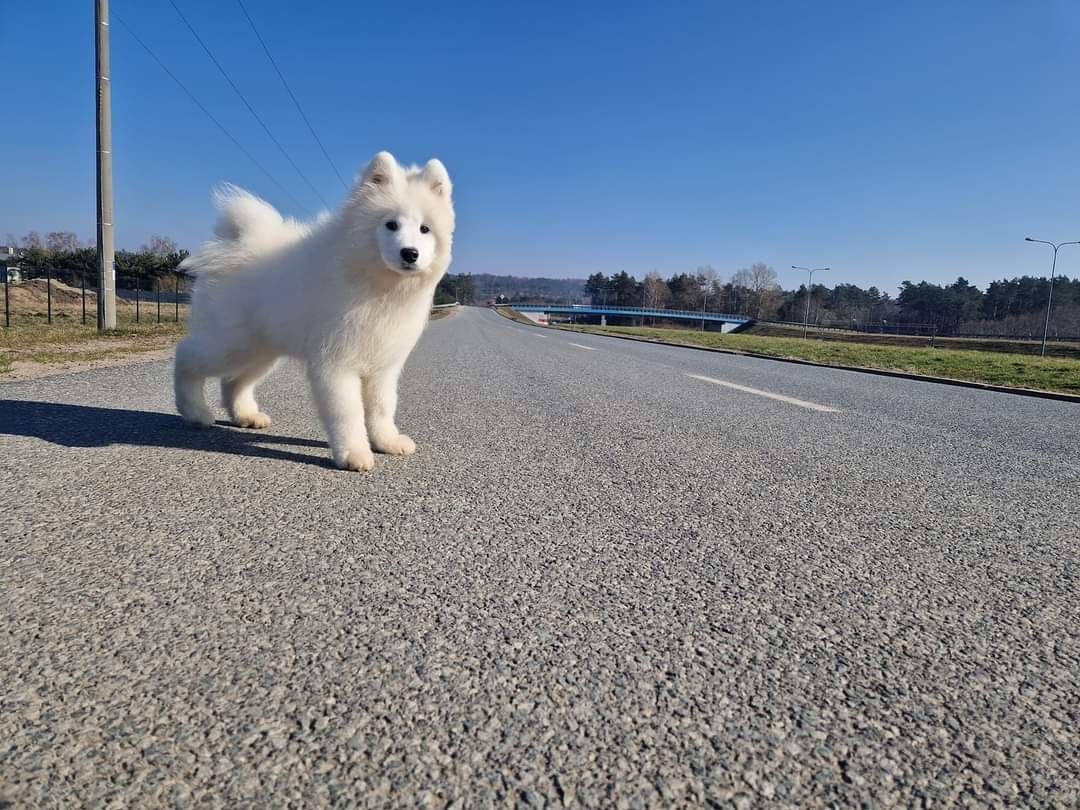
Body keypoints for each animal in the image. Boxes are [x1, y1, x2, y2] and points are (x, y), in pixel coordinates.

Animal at [174, 153, 453, 473]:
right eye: (390, 225)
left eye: (424, 229)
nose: (410, 253)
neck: (378, 286)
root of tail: (234, 246)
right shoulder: (336, 363)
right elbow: (348, 413)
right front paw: (354, 453)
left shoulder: (383, 366)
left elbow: (382, 408)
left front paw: (386, 441)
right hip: (229, 344)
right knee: (186, 358)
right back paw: (195, 412)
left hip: (260, 351)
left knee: (233, 381)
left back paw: (246, 416)